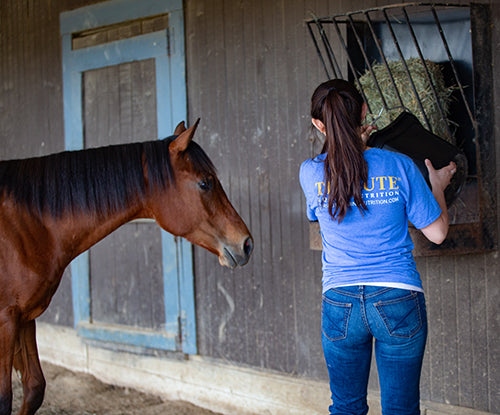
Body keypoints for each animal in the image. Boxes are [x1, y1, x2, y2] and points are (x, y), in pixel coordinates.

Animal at [0, 118, 252, 414]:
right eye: (204, 183)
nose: (246, 243)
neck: (25, 225)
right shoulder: (6, 319)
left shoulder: (25, 316)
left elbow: (34, 388)